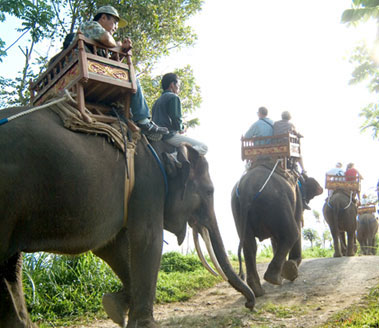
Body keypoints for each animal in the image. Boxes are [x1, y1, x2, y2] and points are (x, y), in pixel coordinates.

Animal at [0, 105, 256, 328]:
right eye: (210, 191)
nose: (249, 304)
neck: (161, 144)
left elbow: (111, 247)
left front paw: (114, 307)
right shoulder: (148, 181)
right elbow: (147, 239)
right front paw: (142, 323)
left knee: (11, 267)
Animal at [232, 162, 324, 298]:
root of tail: (246, 189)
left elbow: (275, 238)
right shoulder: (296, 199)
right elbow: (294, 227)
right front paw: (290, 271)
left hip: (238, 209)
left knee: (249, 244)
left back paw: (259, 290)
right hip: (276, 200)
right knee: (293, 233)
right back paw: (275, 278)